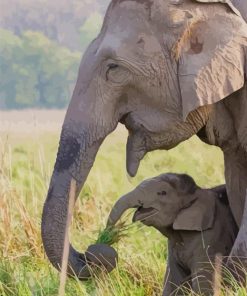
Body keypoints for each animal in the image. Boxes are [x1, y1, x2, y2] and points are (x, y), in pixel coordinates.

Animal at [107, 173, 238, 296]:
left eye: (162, 193)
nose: (107, 234)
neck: (197, 192)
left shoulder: (212, 238)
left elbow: (204, 284)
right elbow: (173, 281)